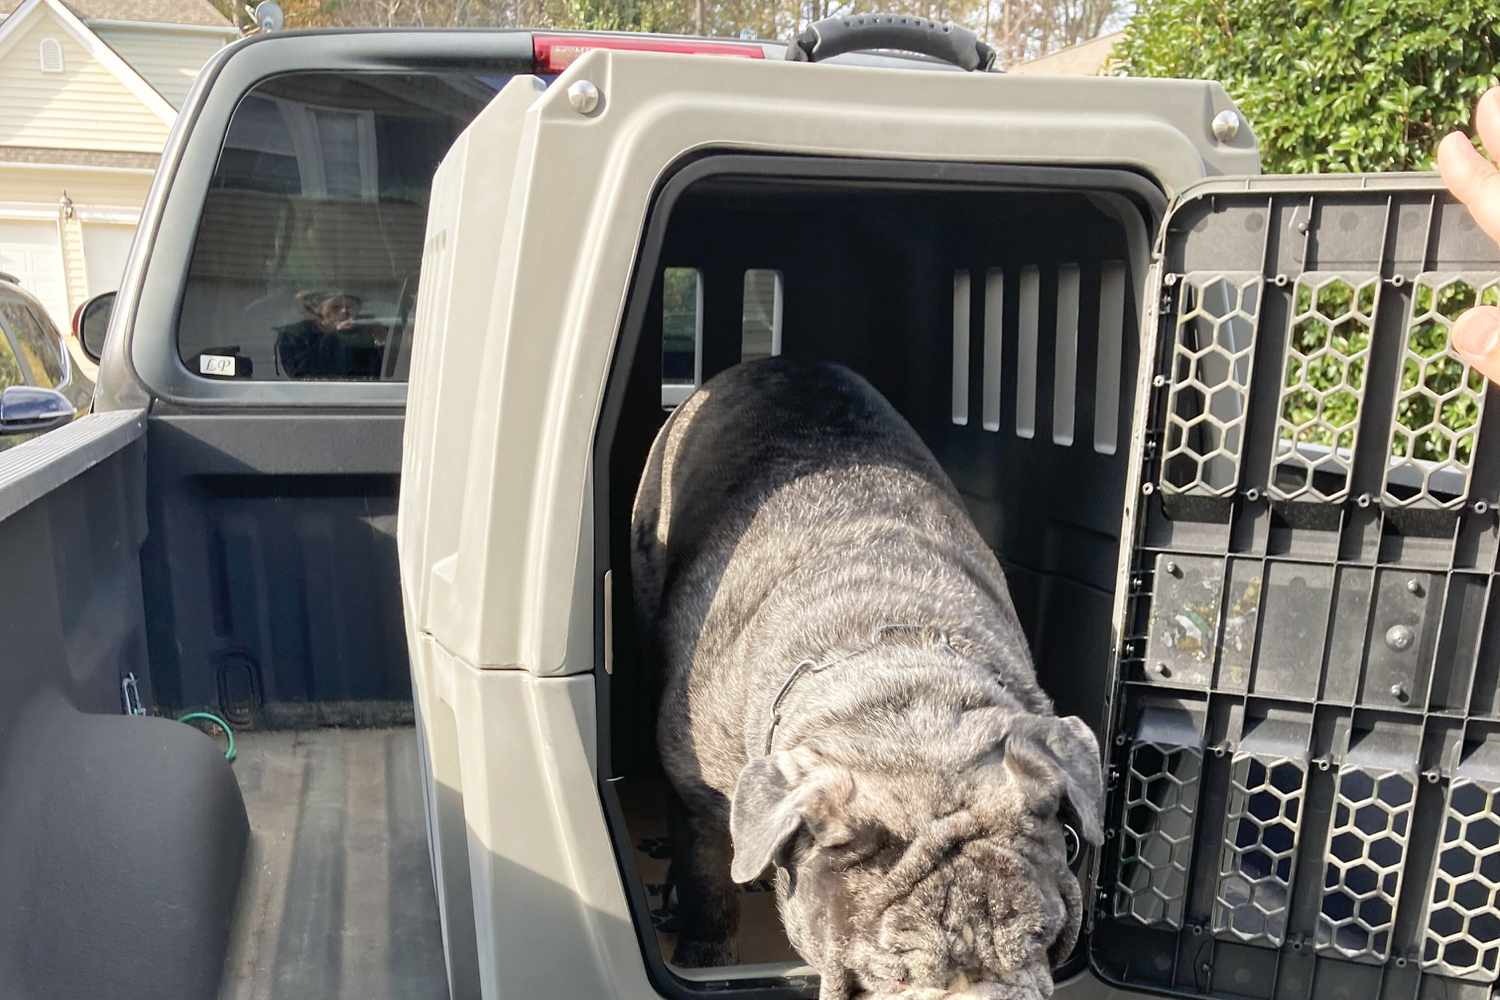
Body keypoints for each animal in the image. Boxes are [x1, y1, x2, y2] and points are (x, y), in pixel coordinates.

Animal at [630, 359, 1104, 1000]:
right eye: (894, 970)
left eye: (1041, 938)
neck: (897, 692)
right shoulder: (694, 792)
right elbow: (709, 886)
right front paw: (706, 955)